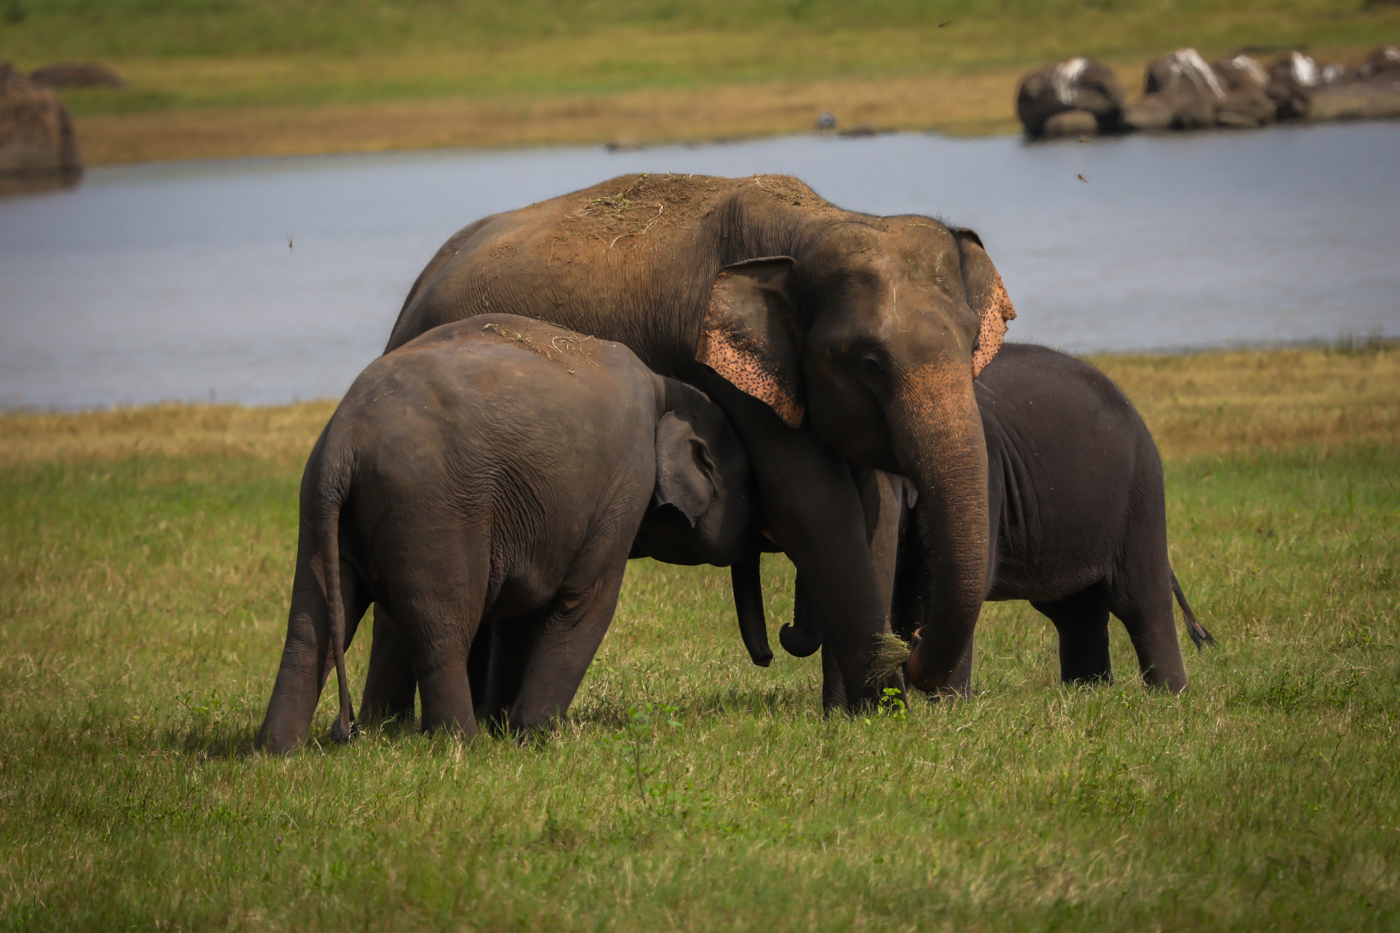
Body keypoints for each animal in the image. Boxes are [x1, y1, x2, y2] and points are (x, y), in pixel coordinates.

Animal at [252, 311, 756, 750]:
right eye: (749, 485)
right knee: (443, 628)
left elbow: (525, 610)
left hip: (321, 511)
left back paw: (278, 752)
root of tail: (344, 440)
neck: (664, 386)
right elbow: (585, 602)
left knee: (310, 625)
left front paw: (507, 727)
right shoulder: (626, 483)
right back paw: (461, 745)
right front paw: (532, 738)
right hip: (431, 509)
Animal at [383, 172, 1019, 706]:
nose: (911, 652)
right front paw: (879, 708)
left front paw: (850, 714)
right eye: (869, 362)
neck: (814, 226)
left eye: (971, 343)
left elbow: (875, 512)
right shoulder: (728, 374)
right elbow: (815, 507)